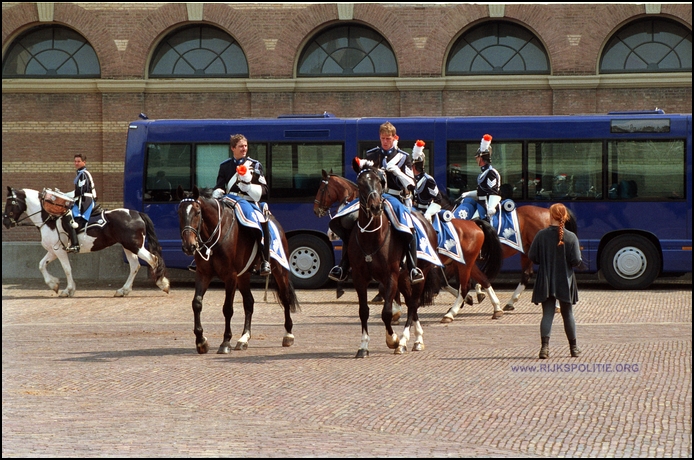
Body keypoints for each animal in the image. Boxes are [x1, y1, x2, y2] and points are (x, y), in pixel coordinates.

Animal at [3, 187, 171, 298]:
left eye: (10, 202)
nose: (5, 221)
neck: (49, 218)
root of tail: (137, 213)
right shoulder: (53, 250)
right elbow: (41, 265)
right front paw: (54, 284)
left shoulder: (59, 251)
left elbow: (67, 269)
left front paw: (68, 290)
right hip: (129, 247)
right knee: (135, 266)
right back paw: (123, 290)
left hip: (134, 246)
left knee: (153, 260)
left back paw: (162, 284)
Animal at [177, 185, 300, 354]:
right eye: (179, 213)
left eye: (197, 212)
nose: (188, 246)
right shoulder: (203, 274)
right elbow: (196, 303)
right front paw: (201, 341)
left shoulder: (230, 276)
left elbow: (227, 308)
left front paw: (225, 342)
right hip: (243, 276)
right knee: (249, 302)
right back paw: (244, 338)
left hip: (279, 271)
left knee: (285, 298)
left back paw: (288, 334)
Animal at [316, 167, 506, 322]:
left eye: (322, 189)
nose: (317, 210)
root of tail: (475, 223)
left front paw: (395, 310)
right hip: (465, 262)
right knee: (482, 280)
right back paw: (495, 308)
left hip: (463, 264)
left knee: (466, 286)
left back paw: (452, 313)